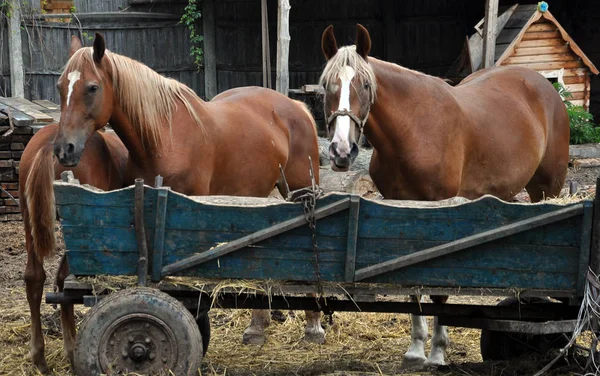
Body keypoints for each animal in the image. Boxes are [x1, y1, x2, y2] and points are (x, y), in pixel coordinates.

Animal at [21, 124, 127, 374]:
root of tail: (49, 143)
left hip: (29, 222)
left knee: (35, 278)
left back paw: (40, 356)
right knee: (64, 282)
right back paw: (72, 350)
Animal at [51, 34, 324, 352]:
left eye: (92, 87)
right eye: (60, 87)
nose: (64, 149)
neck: (164, 137)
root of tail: (295, 106)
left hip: (301, 189)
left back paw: (313, 325)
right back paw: (257, 326)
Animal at [318, 24, 568, 368]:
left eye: (365, 85)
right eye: (326, 86)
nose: (341, 152)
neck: (413, 130)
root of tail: (543, 85)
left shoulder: (440, 209)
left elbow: (438, 290)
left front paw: (436, 353)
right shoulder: (402, 208)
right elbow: (412, 285)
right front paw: (415, 350)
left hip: (547, 188)